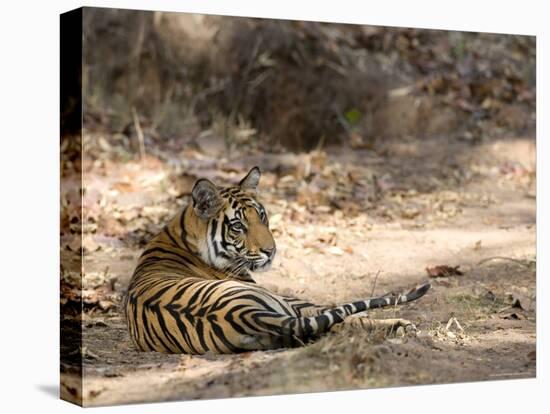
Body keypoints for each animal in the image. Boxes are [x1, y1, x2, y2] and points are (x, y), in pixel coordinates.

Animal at [125, 167, 432, 354]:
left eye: (261, 216)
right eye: (238, 226)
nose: (270, 251)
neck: (181, 232)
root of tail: (244, 313)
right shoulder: (297, 302)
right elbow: (342, 311)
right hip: (284, 306)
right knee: (338, 321)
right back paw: (401, 326)